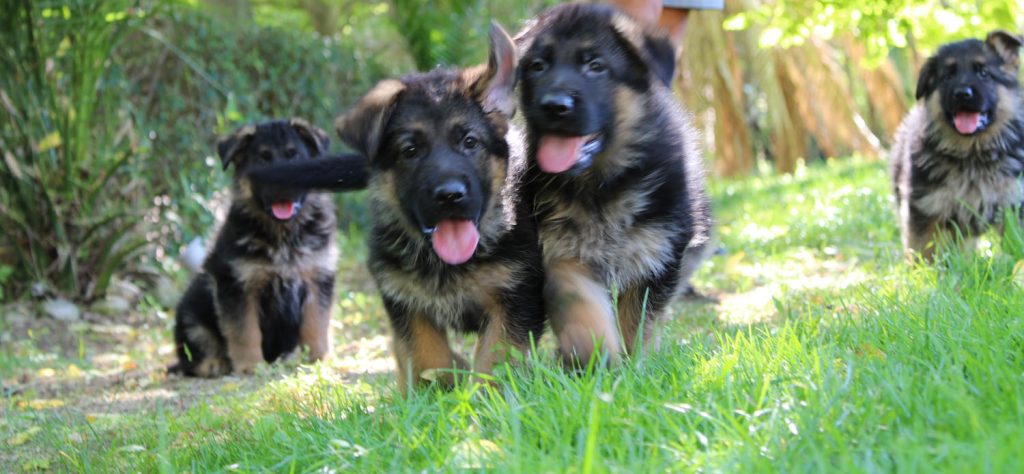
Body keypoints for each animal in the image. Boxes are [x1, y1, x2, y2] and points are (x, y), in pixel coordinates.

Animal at [167, 119, 344, 378]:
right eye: (262, 160)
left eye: (294, 158)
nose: (282, 186)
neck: (282, 234)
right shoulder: (237, 286)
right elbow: (245, 331)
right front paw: (251, 365)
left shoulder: (317, 278)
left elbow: (316, 324)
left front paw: (318, 358)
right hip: (191, 315)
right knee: (193, 355)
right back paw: (215, 364)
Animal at [520, 3, 712, 366]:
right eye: (538, 66)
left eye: (596, 66)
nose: (553, 105)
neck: (601, 185)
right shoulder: (562, 251)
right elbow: (577, 302)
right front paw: (591, 354)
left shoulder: (655, 257)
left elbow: (636, 322)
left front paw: (633, 365)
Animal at [888, 31, 1024, 262]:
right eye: (947, 77)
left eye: (984, 73)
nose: (962, 94)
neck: (973, 153)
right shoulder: (926, 209)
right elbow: (924, 252)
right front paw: (924, 273)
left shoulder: (1013, 207)